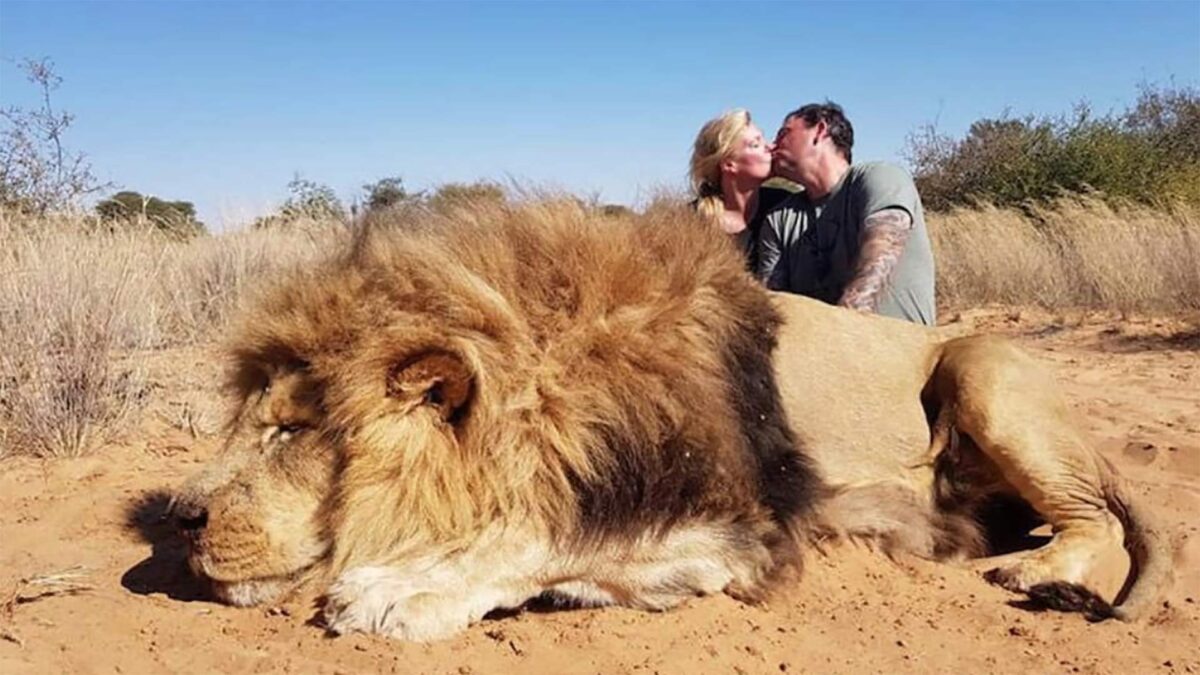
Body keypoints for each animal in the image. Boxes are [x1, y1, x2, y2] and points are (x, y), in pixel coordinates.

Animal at [169, 198, 1171, 634]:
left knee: (1096, 518)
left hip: (981, 365)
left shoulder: (750, 522)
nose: (181, 517)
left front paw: (401, 589)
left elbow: (546, 535)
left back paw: (1039, 572)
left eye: (291, 429)